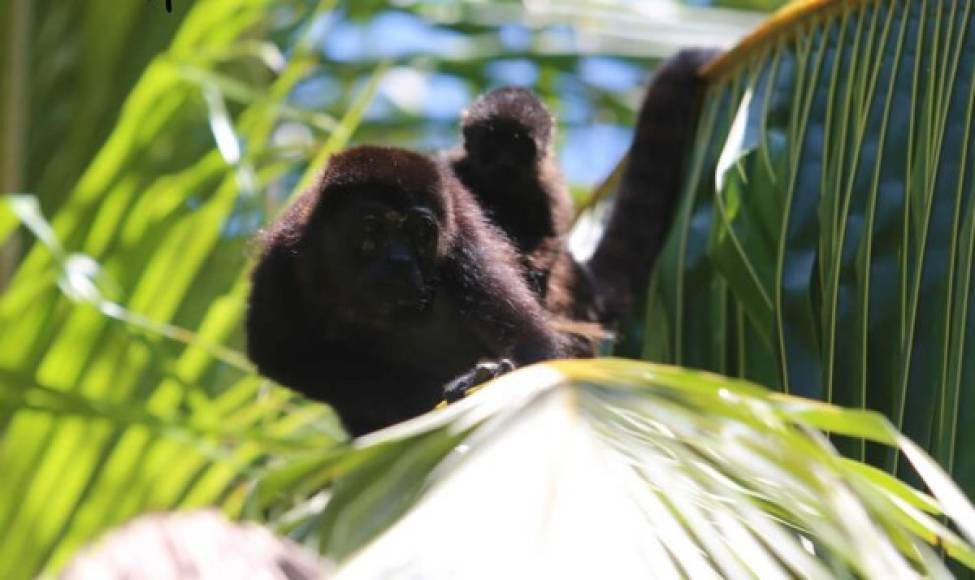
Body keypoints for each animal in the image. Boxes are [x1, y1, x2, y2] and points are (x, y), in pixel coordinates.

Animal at [246, 145, 572, 436]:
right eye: (372, 228)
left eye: (420, 232)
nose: (399, 260)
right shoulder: (282, 254)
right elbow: (278, 353)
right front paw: (425, 396)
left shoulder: (466, 241)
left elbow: (537, 347)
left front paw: (494, 373)